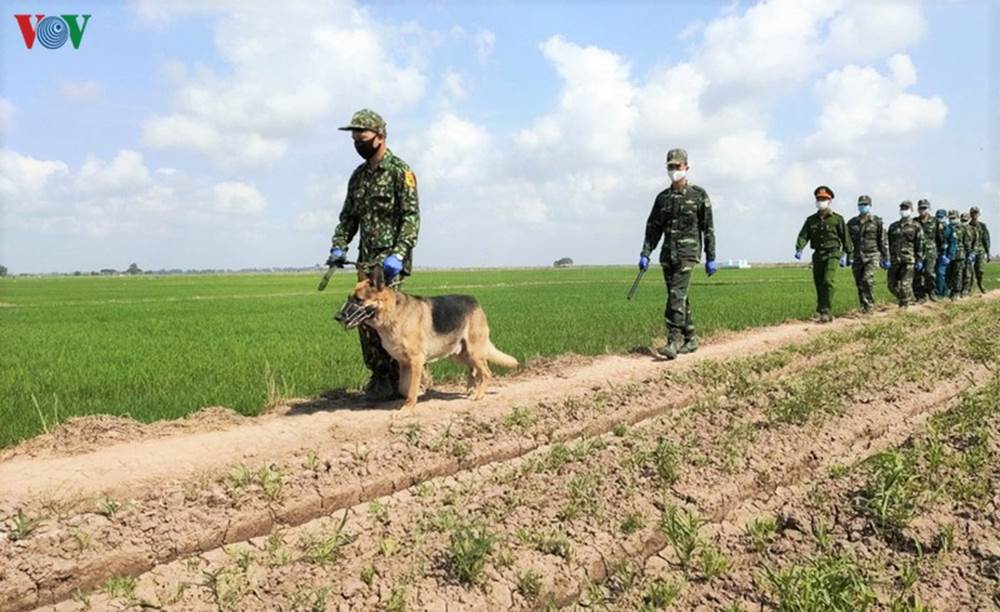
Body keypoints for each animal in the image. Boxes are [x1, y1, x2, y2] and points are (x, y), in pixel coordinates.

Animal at [336, 268, 520, 408]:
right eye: (348, 298)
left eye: (359, 300)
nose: (337, 317)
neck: (392, 313)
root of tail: (475, 301)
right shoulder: (404, 363)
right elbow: (404, 388)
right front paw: (415, 397)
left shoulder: (416, 361)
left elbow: (411, 389)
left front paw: (406, 410)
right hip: (459, 354)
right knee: (473, 370)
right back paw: (470, 389)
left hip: (473, 352)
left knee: (487, 372)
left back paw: (479, 395)